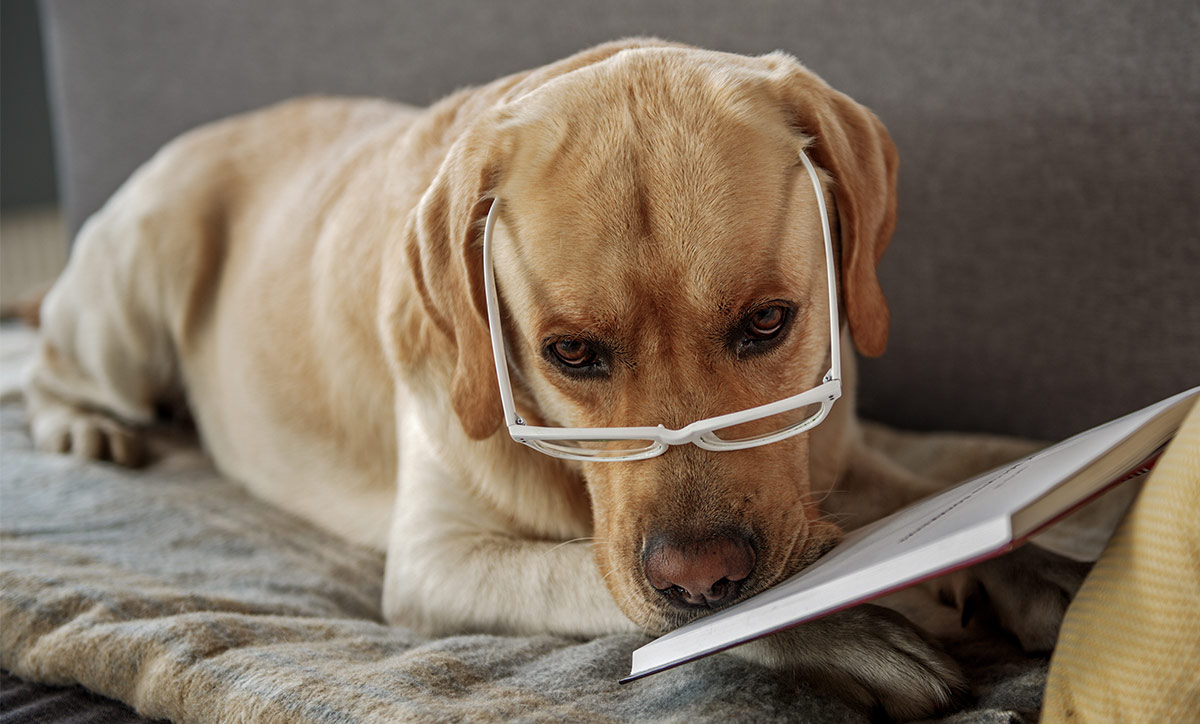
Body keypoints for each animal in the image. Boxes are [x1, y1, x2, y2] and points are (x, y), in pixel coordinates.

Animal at [25, 38, 1080, 720]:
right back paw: (81, 425)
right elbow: (597, 581)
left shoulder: (834, 460)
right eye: (570, 353)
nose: (704, 577)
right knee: (46, 359)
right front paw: (854, 631)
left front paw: (1048, 572)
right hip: (136, 286)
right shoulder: (438, 563)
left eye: (768, 322)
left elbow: (931, 498)